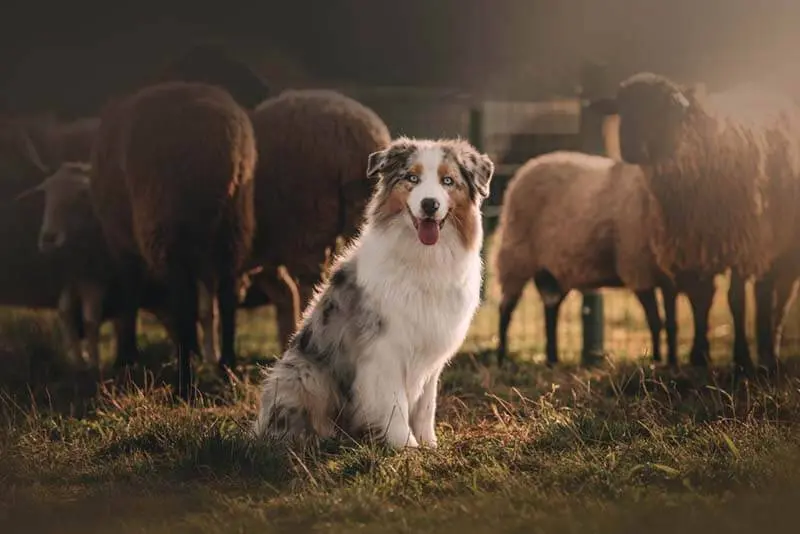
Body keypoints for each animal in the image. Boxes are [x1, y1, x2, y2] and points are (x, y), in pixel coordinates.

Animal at [89, 81, 256, 402]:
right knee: (228, 296)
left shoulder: (123, 245)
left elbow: (130, 296)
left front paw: (127, 357)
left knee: (184, 305)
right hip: (234, 225)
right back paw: (227, 369)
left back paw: (184, 386)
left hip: (167, 225)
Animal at [256, 136, 494, 450]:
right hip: (304, 372)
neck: (423, 258)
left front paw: (429, 445)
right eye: (412, 178)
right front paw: (406, 447)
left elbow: (425, 406)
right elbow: (394, 403)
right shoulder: (384, 347)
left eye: (448, 181)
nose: (430, 204)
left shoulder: (431, 349)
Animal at [490, 151, 716, 368]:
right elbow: (655, 321)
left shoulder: (670, 276)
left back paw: (552, 359)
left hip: (554, 269)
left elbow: (675, 320)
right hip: (516, 256)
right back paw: (502, 358)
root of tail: (528, 166)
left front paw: (674, 360)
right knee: (506, 308)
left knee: (551, 308)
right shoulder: (637, 269)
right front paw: (657, 360)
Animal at [616, 72, 800, 376]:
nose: (629, 150)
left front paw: (741, 359)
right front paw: (699, 355)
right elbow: (700, 300)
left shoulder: (740, 244)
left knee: (781, 296)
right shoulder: (692, 246)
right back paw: (764, 349)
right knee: (765, 290)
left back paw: (770, 353)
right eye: (622, 110)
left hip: (781, 244)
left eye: (659, 109)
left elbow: (735, 301)